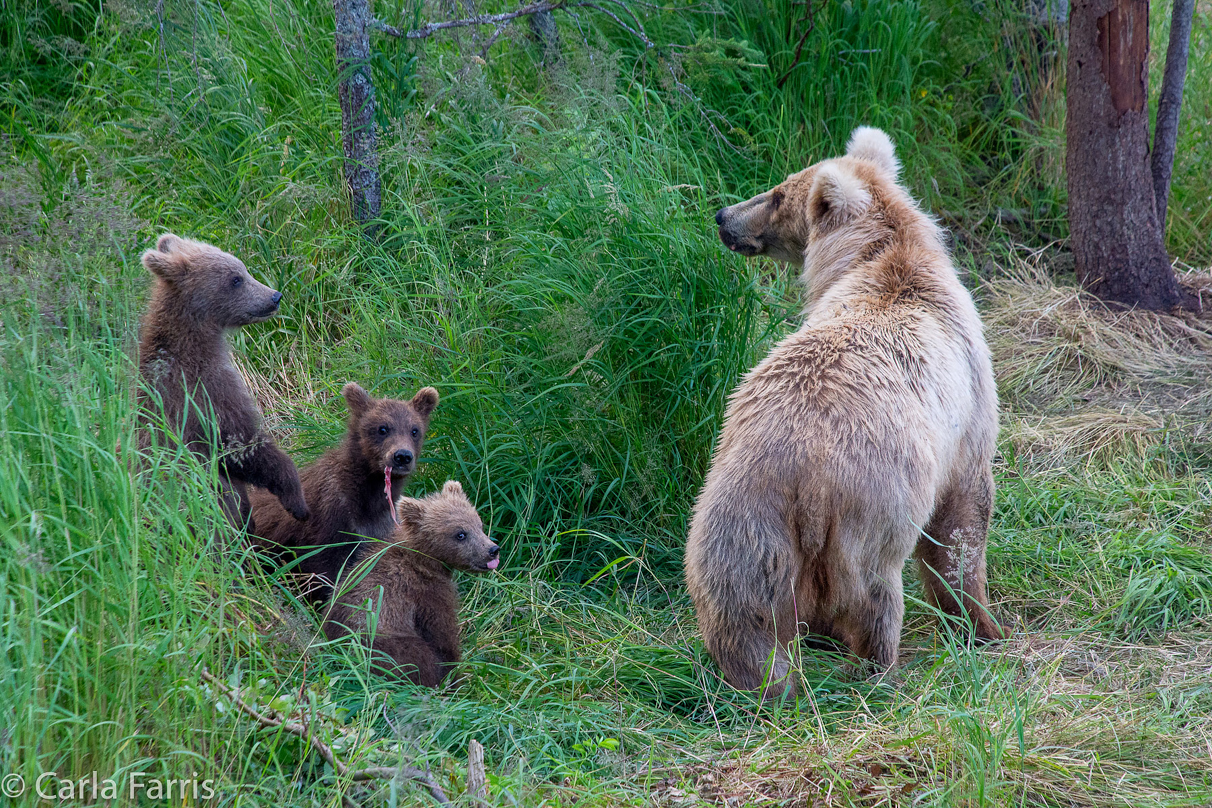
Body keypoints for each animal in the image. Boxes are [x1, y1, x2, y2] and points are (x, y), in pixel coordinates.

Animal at [319, 484, 499, 688]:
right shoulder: (425, 593)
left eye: (479, 525)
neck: (424, 561)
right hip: (386, 644)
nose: (492, 550)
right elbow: (443, 634)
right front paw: (456, 676)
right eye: (460, 534)